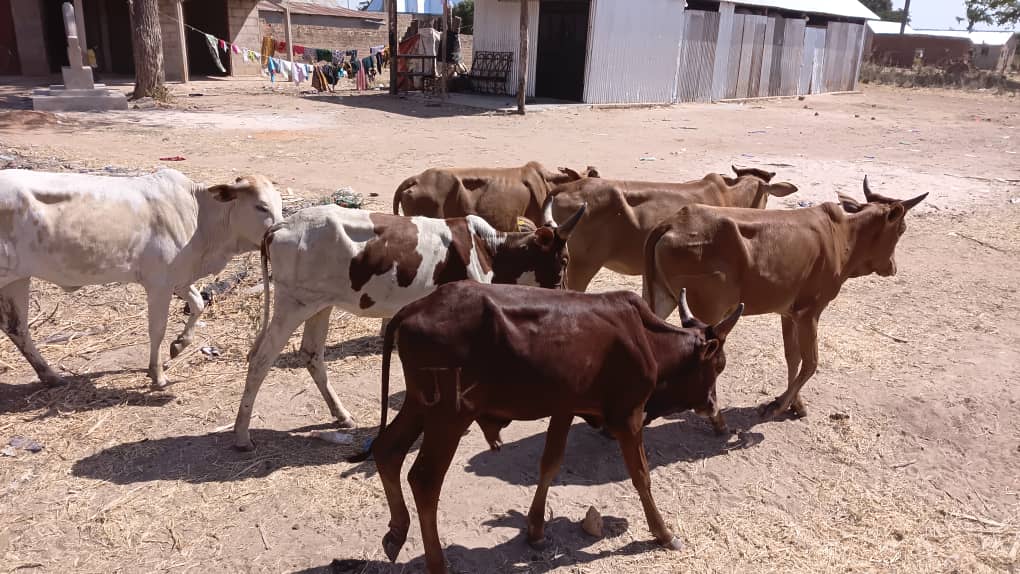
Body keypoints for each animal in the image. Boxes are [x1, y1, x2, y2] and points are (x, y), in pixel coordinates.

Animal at [0, 169, 282, 388]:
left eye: (280, 204)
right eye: (260, 206)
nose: (277, 236)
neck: (201, 217)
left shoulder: (179, 278)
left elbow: (198, 304)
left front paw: (178, 345)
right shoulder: (159, 284)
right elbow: (157, 329)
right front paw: (157, 374)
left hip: (18, 279)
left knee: (17, 327)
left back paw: (49, 375)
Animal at [232, 203, 587, 451]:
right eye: (564, 260)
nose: (568, 295)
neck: (487, 249)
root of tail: (281, 225)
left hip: (320, 305)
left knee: (310, 354)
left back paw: (341, 415)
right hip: (293, 305)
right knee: (261, 360)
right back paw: (241, 435)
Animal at [352, 282, 743, 574]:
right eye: (719, 364)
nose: (712, 405)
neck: (646, 338)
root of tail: (414, 308)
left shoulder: (565, 407)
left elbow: (550, 464)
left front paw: (536, 530)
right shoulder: (629, 417)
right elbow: (641, 476)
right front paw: (663, 533)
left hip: (420, 404)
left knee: (388, 450)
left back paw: (396, 532)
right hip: (449, 415)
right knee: (424, 480)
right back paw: (436, 562)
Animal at [643, 177, 926, 420]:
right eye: (901, 228)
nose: (892, 267)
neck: (842, 236)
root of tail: (670, 223)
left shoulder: (788, 313)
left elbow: (793, 358)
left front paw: (795, 404)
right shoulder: (810, 312)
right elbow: (811, 362)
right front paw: (778, 405)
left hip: (661, 296)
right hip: (705, 310)